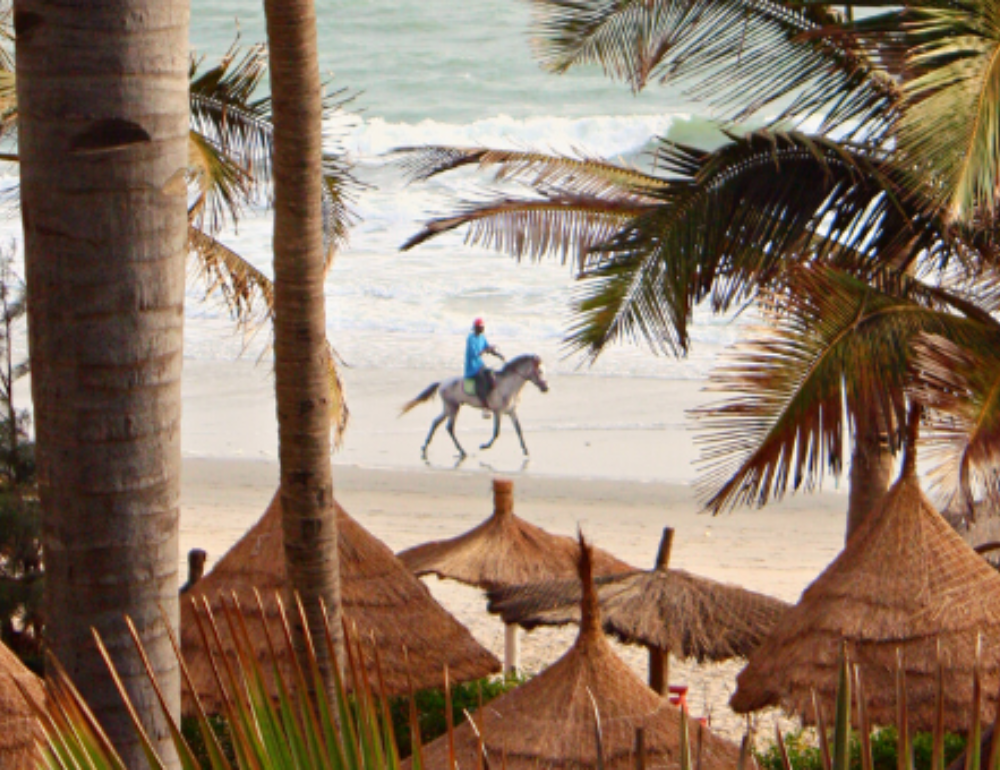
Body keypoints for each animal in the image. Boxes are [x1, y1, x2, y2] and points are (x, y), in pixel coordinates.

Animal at [398, 354, 552, 456]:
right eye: (540, 371)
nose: (546, 388)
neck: (509, 386)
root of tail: (442, 383)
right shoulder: (498, 412)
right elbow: (496, 432)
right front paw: (485, 446)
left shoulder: (511, 412)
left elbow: (519, 430)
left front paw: (525, 449)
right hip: (453, 407)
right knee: (449, 427)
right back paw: (461, 450)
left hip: (448, 408)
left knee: (436, 422)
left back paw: (426, 445)